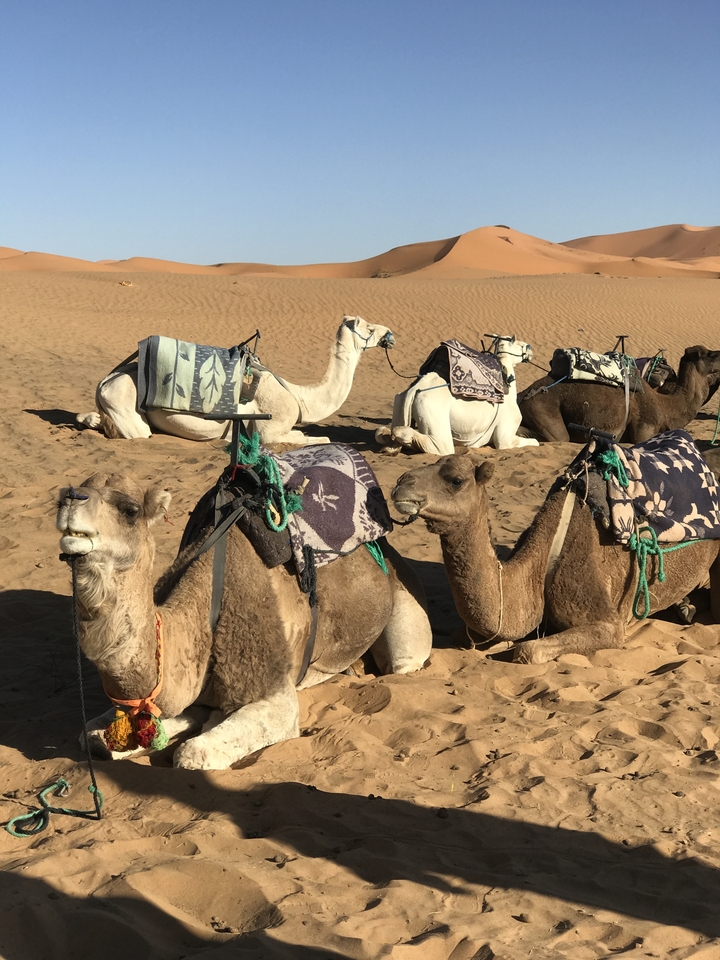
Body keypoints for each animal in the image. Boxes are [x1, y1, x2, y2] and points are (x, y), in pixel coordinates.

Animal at [56, 471, 432, 770]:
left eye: (130, 510)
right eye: (68, 491)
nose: (71, 497)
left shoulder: (273, 688)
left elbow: (191, 754)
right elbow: (93, 737)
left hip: (405, 611)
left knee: (403, 661)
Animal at [76, 315, 395, 445]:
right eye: (368, 327)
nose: (390, 334)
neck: (299, 396)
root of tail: (104, 381)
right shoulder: (269, 431)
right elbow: (318, 439)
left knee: (92, 418)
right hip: (126, 405)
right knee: (138, 432)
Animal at [375, 336, 539, 455]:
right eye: (515, 341)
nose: (530, 348)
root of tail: (415, 389)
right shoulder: (505, 438)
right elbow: (534, 441)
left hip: (400, 402)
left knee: (382, 432)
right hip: (434, 419)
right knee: (439, 447)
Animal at [391, 452, 720, 664]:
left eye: (456, 480)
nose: (401, 483)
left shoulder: (607, 622)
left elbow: (528, 651)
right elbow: (467, 636)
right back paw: (685, 607)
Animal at [519, 345, 720, 443]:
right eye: (710, 355)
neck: (666, 407)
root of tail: (521, 395)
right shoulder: (643, 430)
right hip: (540, 408)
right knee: (557, 437)